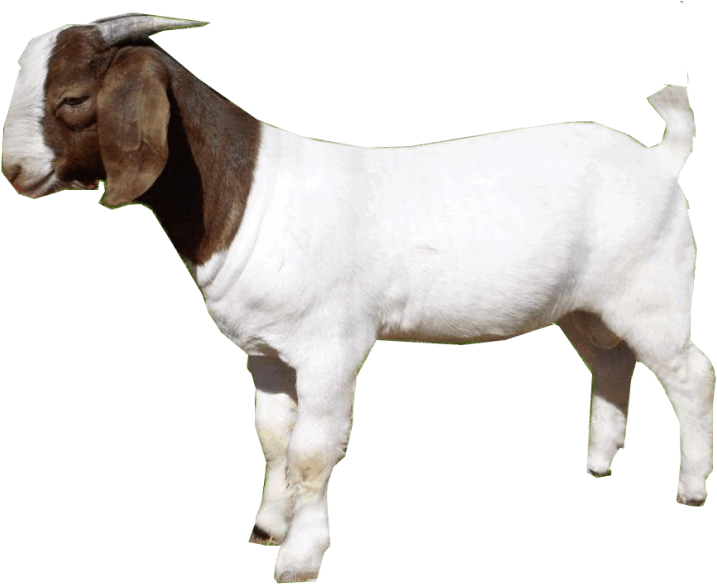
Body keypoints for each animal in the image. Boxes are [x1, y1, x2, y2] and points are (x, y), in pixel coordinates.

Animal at [2, 13, 713, 583]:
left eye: (73, 98)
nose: (13, 171)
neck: (249, 194)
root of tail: (660, 159)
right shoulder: (266, 354)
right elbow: (273, 440)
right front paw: (267, 527)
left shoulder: (330, 348)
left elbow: (313, 452)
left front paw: (299, 558)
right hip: (586, 306)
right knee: (611, 362)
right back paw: (599, 464)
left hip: (651, 292)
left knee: (691, 374)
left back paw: (692, 488)